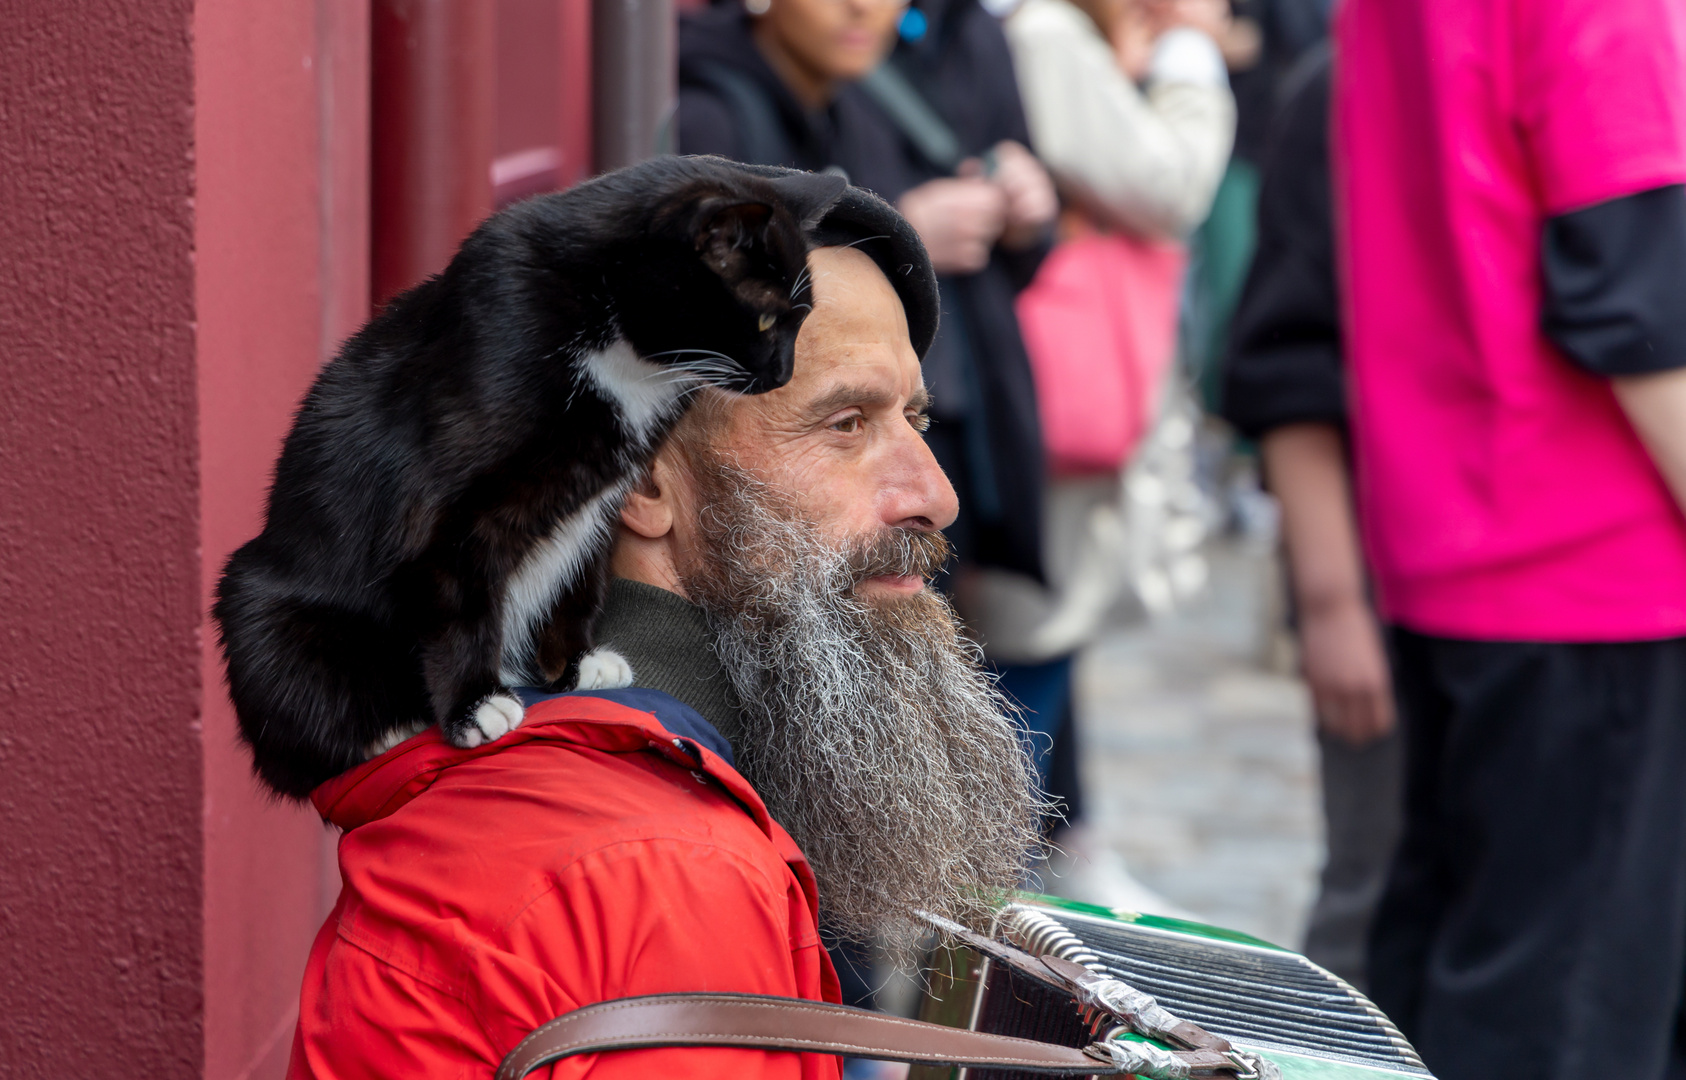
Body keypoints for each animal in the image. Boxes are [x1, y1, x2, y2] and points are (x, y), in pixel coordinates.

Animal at [214, 155, 843, 795]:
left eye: (801, 320)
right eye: (763, 319)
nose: (783, 373)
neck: (621, 353)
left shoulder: (599, 491)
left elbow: (580, 578)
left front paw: (573, 665)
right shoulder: (443, 505)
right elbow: (458, 600)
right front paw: (473, 706)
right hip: (263, 613)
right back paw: (388, 728)